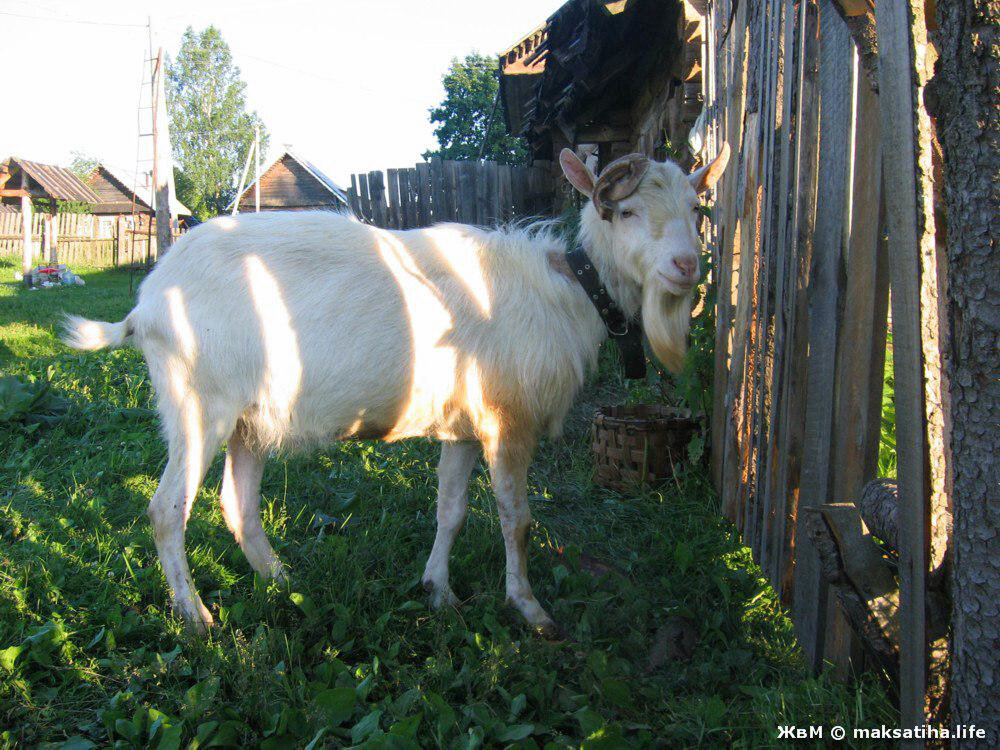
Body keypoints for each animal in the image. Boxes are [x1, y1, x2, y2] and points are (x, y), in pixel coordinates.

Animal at [64, 145, 728, 636]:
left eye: (694, 207)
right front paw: (530, 610)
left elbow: (451, 511)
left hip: (250, 419)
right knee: (167, 509)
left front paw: (439, 592)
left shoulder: (465, 427)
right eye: (625, 213)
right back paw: (197, 616)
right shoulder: (508, 421)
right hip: (198, 407)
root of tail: (146, 304)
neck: (570, 286)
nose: (685, 267)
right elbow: (516, 519)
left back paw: (284, 582)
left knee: (238, 506)